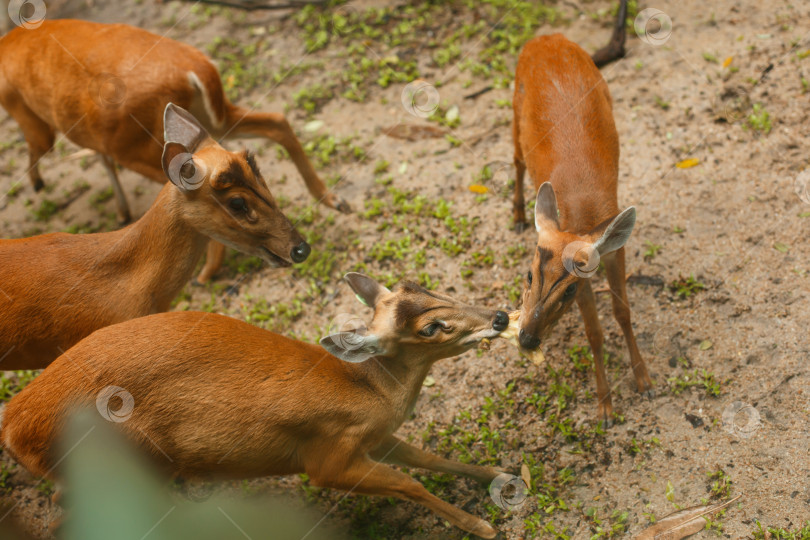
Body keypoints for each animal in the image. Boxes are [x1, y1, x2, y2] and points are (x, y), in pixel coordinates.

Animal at [0, 17, 344, 282]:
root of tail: (196, 68)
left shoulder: (29, 118)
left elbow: (43, 150)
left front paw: (38, 183)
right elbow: (103, 160)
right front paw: (122, 210)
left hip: (138, 145)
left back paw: (206, 274)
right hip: (212, 119)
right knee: (277, 120)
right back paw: (333, 199)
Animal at [1, 276, 512, 536]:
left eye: (428, 286)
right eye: (431, 328)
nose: (501, 316)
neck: (367, 390)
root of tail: (14, 422)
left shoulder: (375, 437)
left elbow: (427, 458)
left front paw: (500, 476)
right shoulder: (327, 458)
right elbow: (410, 483)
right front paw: (482, 527)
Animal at [508, 29, 652, 428]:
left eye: (568, 290)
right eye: (528, 274)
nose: (526, 339)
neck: (582, 216)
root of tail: (546, 36)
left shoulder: (611, 253)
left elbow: (622, 312)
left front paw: (644, 380)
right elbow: (594, 332)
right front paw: (605, 408)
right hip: (513, 110)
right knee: (516, 161)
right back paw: (518, 215)